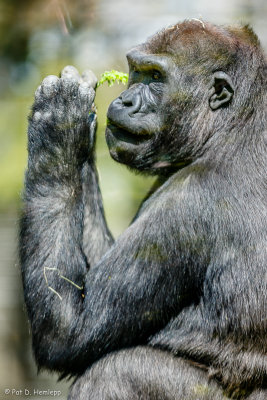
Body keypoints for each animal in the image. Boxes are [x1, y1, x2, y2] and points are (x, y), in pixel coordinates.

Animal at [19, 20, 266, 398]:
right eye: (137, 72)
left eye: (156, 77)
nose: (126, 99)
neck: (234, 123)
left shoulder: (187, 204)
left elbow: (70, 330)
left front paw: (58, 121)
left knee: (117, 370)